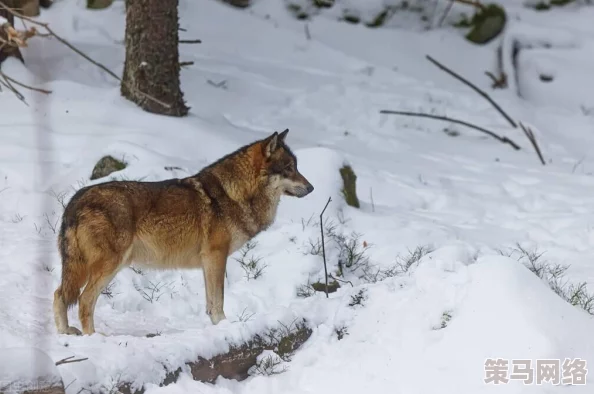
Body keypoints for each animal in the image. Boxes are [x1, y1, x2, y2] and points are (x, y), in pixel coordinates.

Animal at [53, 129, 312, 336]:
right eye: (289, 168)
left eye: (297, 167)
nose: (311, 188)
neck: (234, 194)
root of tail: (74, 201)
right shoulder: (216, 256)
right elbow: (219, 300)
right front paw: (225, 326)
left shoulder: (209, 261)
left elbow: (210, 303)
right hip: (109, 266)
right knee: (84, 300)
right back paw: (94, 337)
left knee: (59, 295)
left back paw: (66, 332)